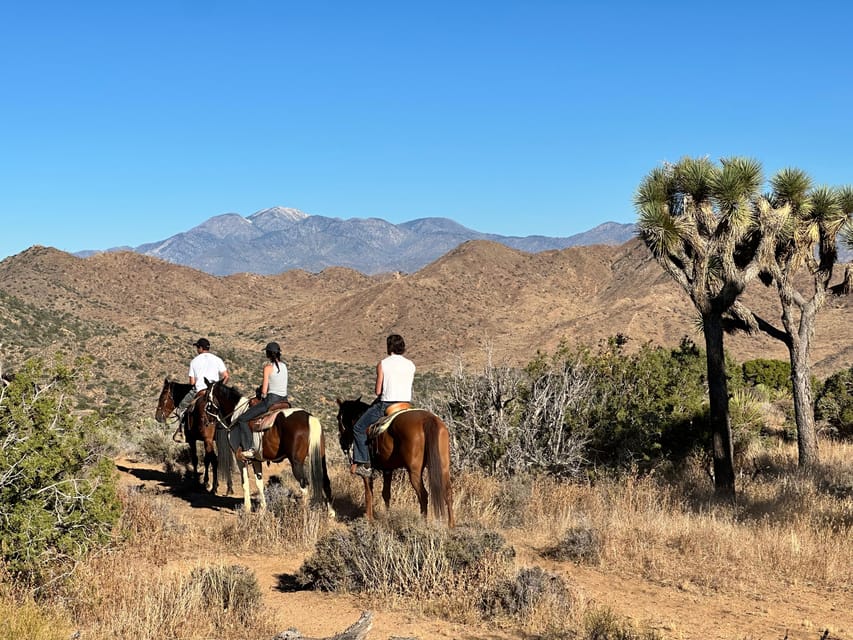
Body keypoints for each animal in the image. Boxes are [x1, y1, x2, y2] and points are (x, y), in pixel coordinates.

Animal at [202, 380, 332, 516]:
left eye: (206, 397)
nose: (205, 420)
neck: (236, 415)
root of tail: (309, 418)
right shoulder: (256, 459)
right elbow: (259, 482)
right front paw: (263, 509)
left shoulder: (240, 458)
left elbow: (245, 483)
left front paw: (247, 508)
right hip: (321, 458)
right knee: (325, 481)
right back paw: (331, 513)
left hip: (296, 462)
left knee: (304, 484)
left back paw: (303, 512)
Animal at [332, 398, 452, 528]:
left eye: (338, 417)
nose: (342, 443)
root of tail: (427, 419)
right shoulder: (387, 470)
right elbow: (386, 493)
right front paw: (387, 516)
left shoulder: (367, 471)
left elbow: (368, 494)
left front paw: (369, 519)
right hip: (444, 467)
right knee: (448, 493)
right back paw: (451, 525)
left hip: (414, 471)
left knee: (423, 495)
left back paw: (423, 524)